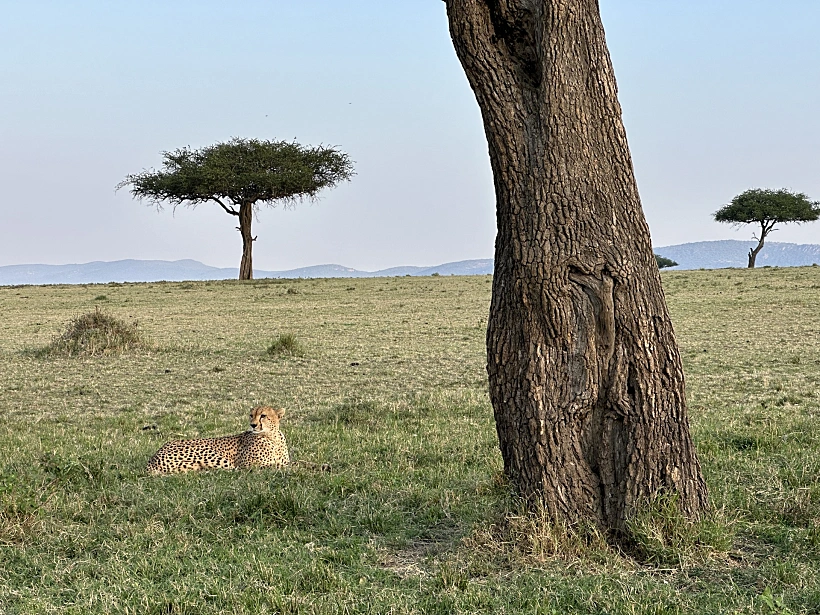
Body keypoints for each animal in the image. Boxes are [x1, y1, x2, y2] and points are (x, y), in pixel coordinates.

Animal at [146, 404, 290, 476]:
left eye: (263, 416)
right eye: (251, 415)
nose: (253, 425)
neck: (272, 437)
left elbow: (284, 463)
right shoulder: (247, 464)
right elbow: (277, 465)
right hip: (212, 454)